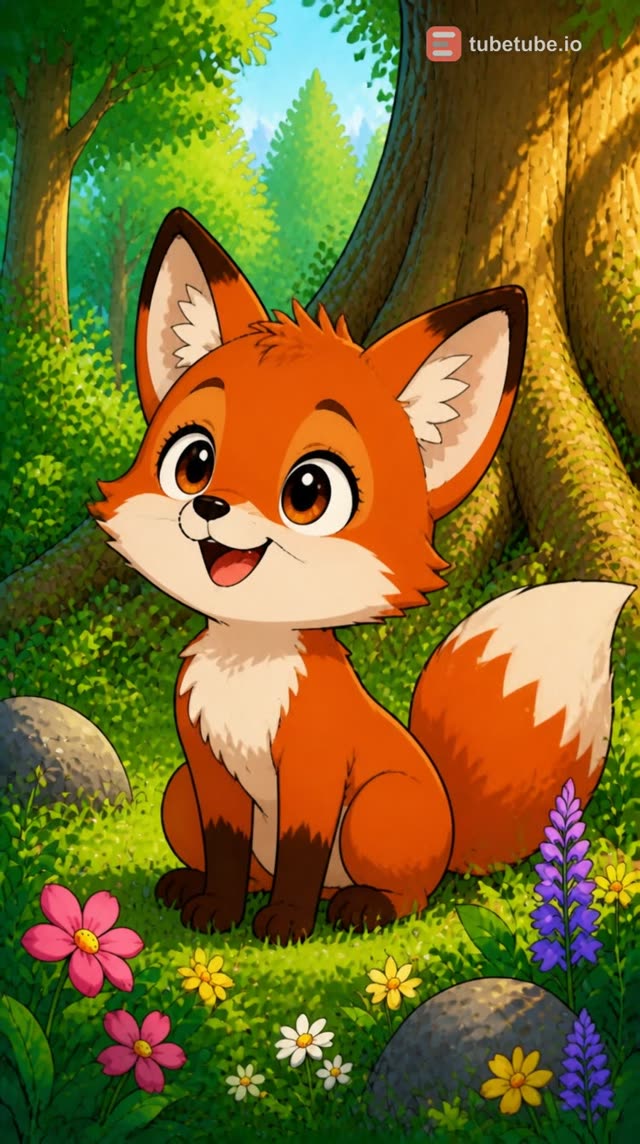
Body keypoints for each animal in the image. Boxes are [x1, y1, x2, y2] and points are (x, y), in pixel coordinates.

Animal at [90, 208, 633, 945]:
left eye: (309, 491)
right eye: (194, 462)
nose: (209, 506)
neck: (249, 664)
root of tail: (453, 831)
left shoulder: (317, 775)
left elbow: (302, 853)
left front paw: (285, 924)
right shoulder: (207, 771)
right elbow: (228, 851)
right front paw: (218, 912)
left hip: (381, 807)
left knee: (407, 894)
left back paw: (358, 907)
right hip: (177, 791)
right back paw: (190, 887)